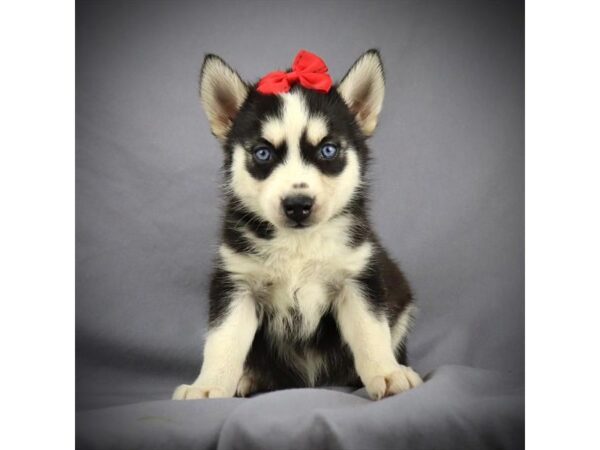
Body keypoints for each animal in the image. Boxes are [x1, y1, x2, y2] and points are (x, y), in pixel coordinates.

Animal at [172, 49, 422, 400]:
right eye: (262, 153)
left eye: (328, 150)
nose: (298, 205)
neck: (299, 245)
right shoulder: (237, 283)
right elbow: (223, 341)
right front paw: (208, 386)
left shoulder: (358, 278)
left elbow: (371, 331)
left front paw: (386, 373)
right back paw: (248, 378)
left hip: (400, 299)